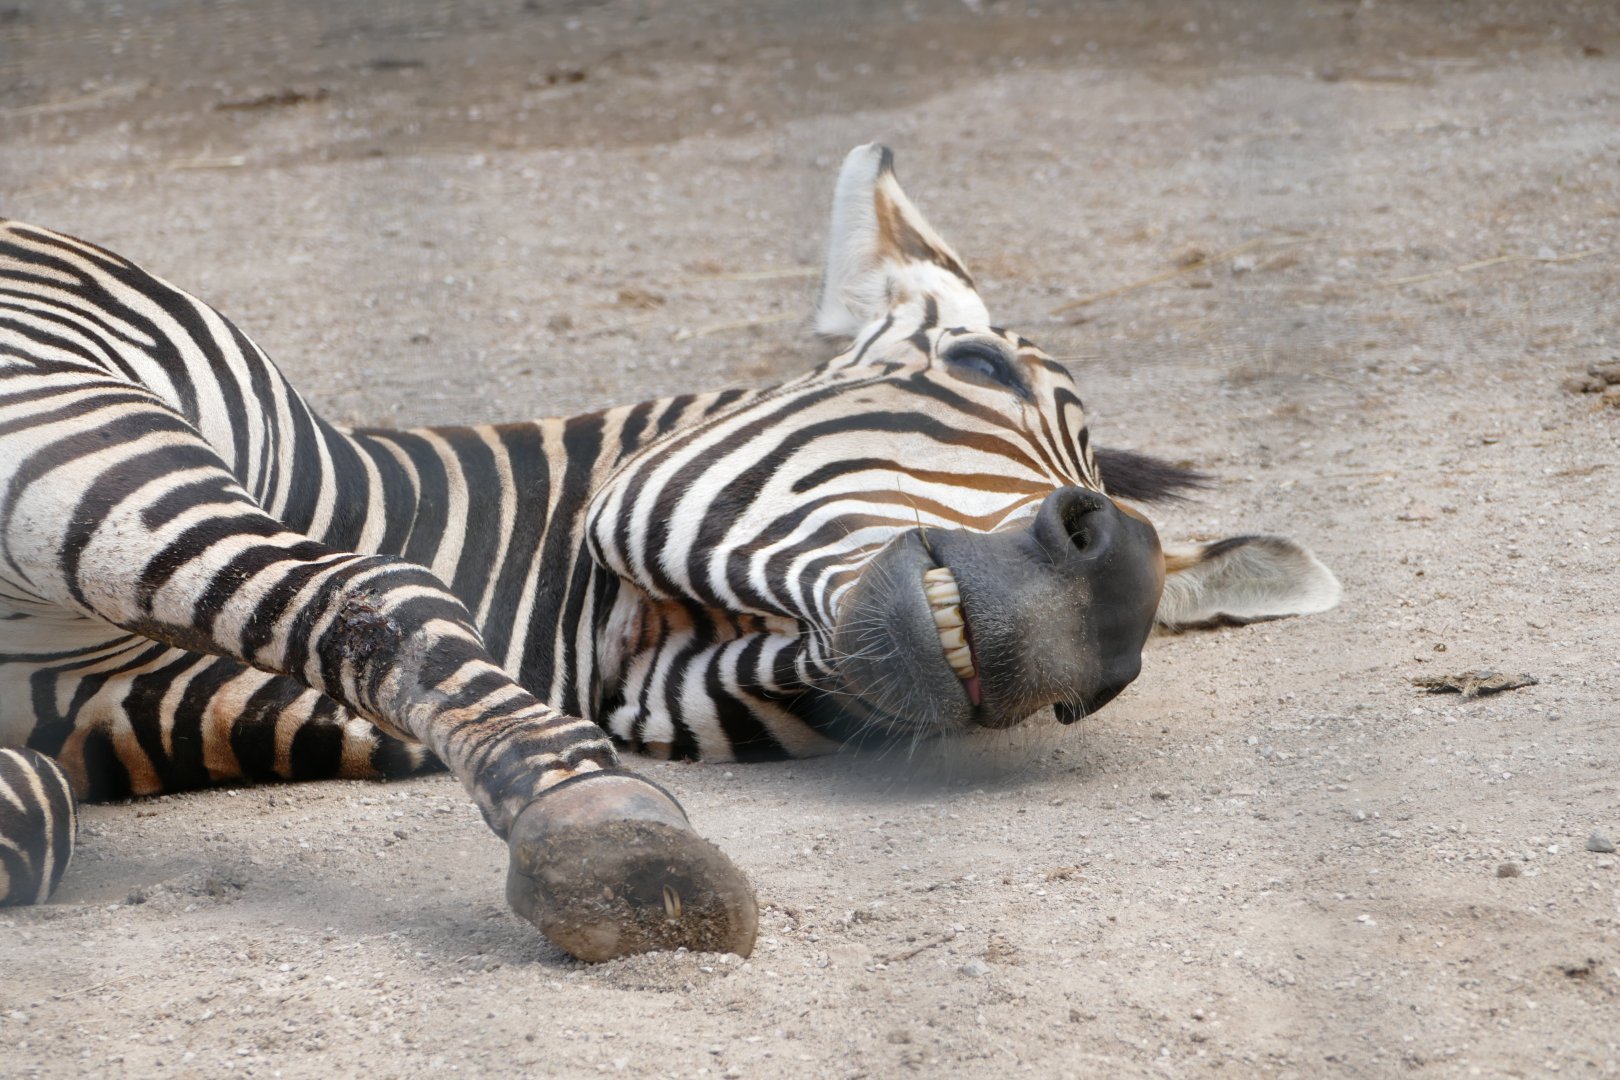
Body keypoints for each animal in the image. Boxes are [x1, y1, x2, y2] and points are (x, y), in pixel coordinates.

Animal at [0, 145, 1339, 960]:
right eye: (979, 365)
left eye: (1144, 618)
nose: (1123, 582)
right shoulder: (47, 391)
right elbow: (374, 592)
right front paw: (592, 817)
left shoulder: (109, 713)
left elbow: (44, 808)